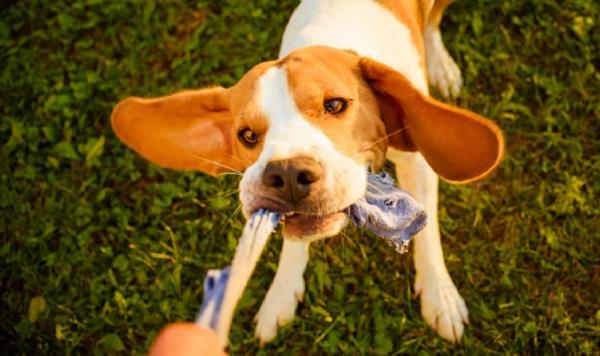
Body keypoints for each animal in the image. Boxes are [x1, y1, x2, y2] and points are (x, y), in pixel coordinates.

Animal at [111, 0, 502, 344]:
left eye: (336, 104)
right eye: (247, 135)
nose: (285, 175)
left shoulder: (417, 163)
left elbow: (428, 233)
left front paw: (440, 296)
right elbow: (293, 243)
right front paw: (281, 292)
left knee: (432, 23)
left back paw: (440, 65)